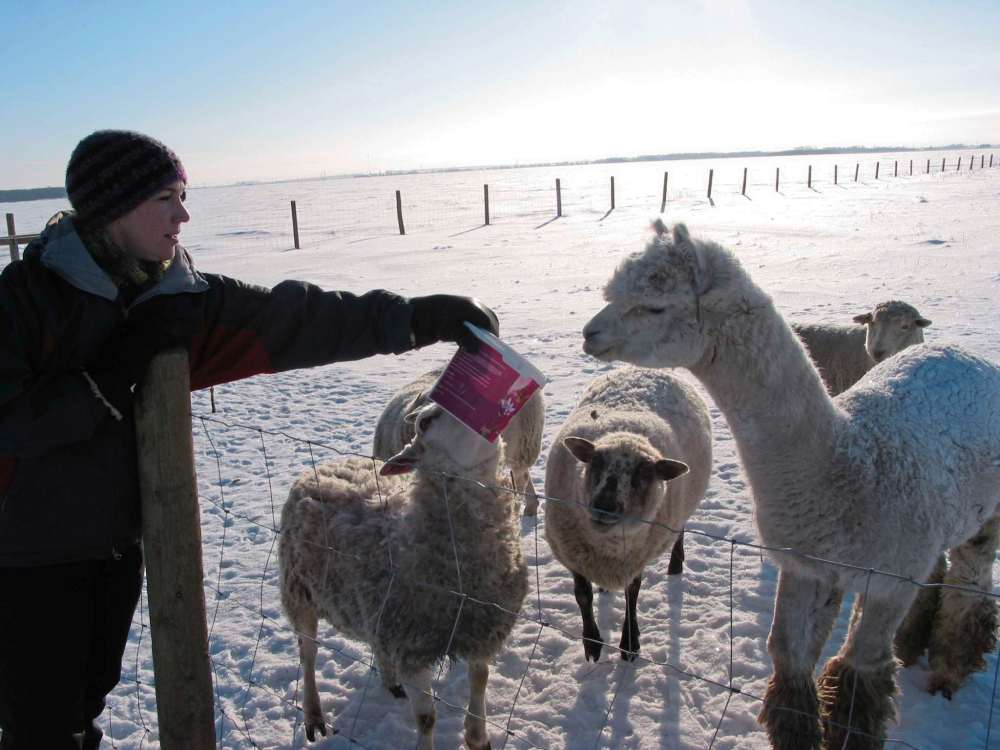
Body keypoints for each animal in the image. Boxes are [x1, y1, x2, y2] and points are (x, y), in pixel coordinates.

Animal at [279, 403, 528, 750]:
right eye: (425, 422)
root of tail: (324, 465)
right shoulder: (412, 648)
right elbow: (426, 718)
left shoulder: (482, 630)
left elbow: (480, 680)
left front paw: (478, 737)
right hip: (298, 593)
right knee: (309, 654)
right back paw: (314, 715)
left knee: (372, 643)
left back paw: (389, 680)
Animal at [544, 367, 712, 662]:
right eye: (595, 462)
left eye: (643, 473)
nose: (604, 505)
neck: (607, 545)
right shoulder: (572, 554)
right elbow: (582, 595)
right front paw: (592, 643)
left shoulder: (636, 556)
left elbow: (632, 594)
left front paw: (630, 643)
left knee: (679, 533)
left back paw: (675, 565)